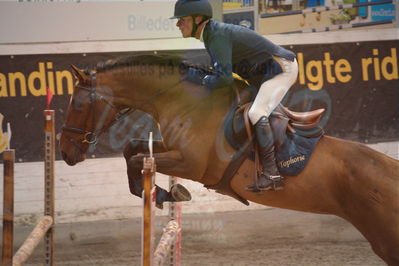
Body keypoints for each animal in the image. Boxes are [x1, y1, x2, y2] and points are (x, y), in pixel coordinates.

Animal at [59, 53, 399, 264]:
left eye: (77, 104)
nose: (64, 152)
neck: (182, 100)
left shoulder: (191, 164)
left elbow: (135, 159)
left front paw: (166, 192)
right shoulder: (171, 149)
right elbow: (132, 149)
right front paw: (163, 192)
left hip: (385, 238)